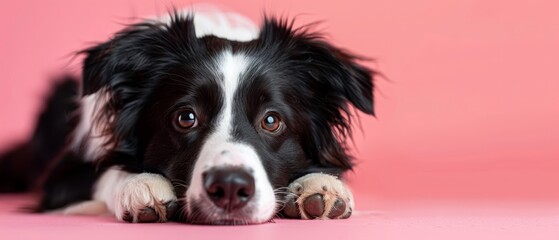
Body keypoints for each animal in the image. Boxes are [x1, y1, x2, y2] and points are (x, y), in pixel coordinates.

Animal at [1, 7, 376, 225]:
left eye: (271, 120)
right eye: (186, 117)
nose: (230, 186)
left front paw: (321, 185)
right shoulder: (61, 177)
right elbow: (106, 171)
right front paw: (140, 184)